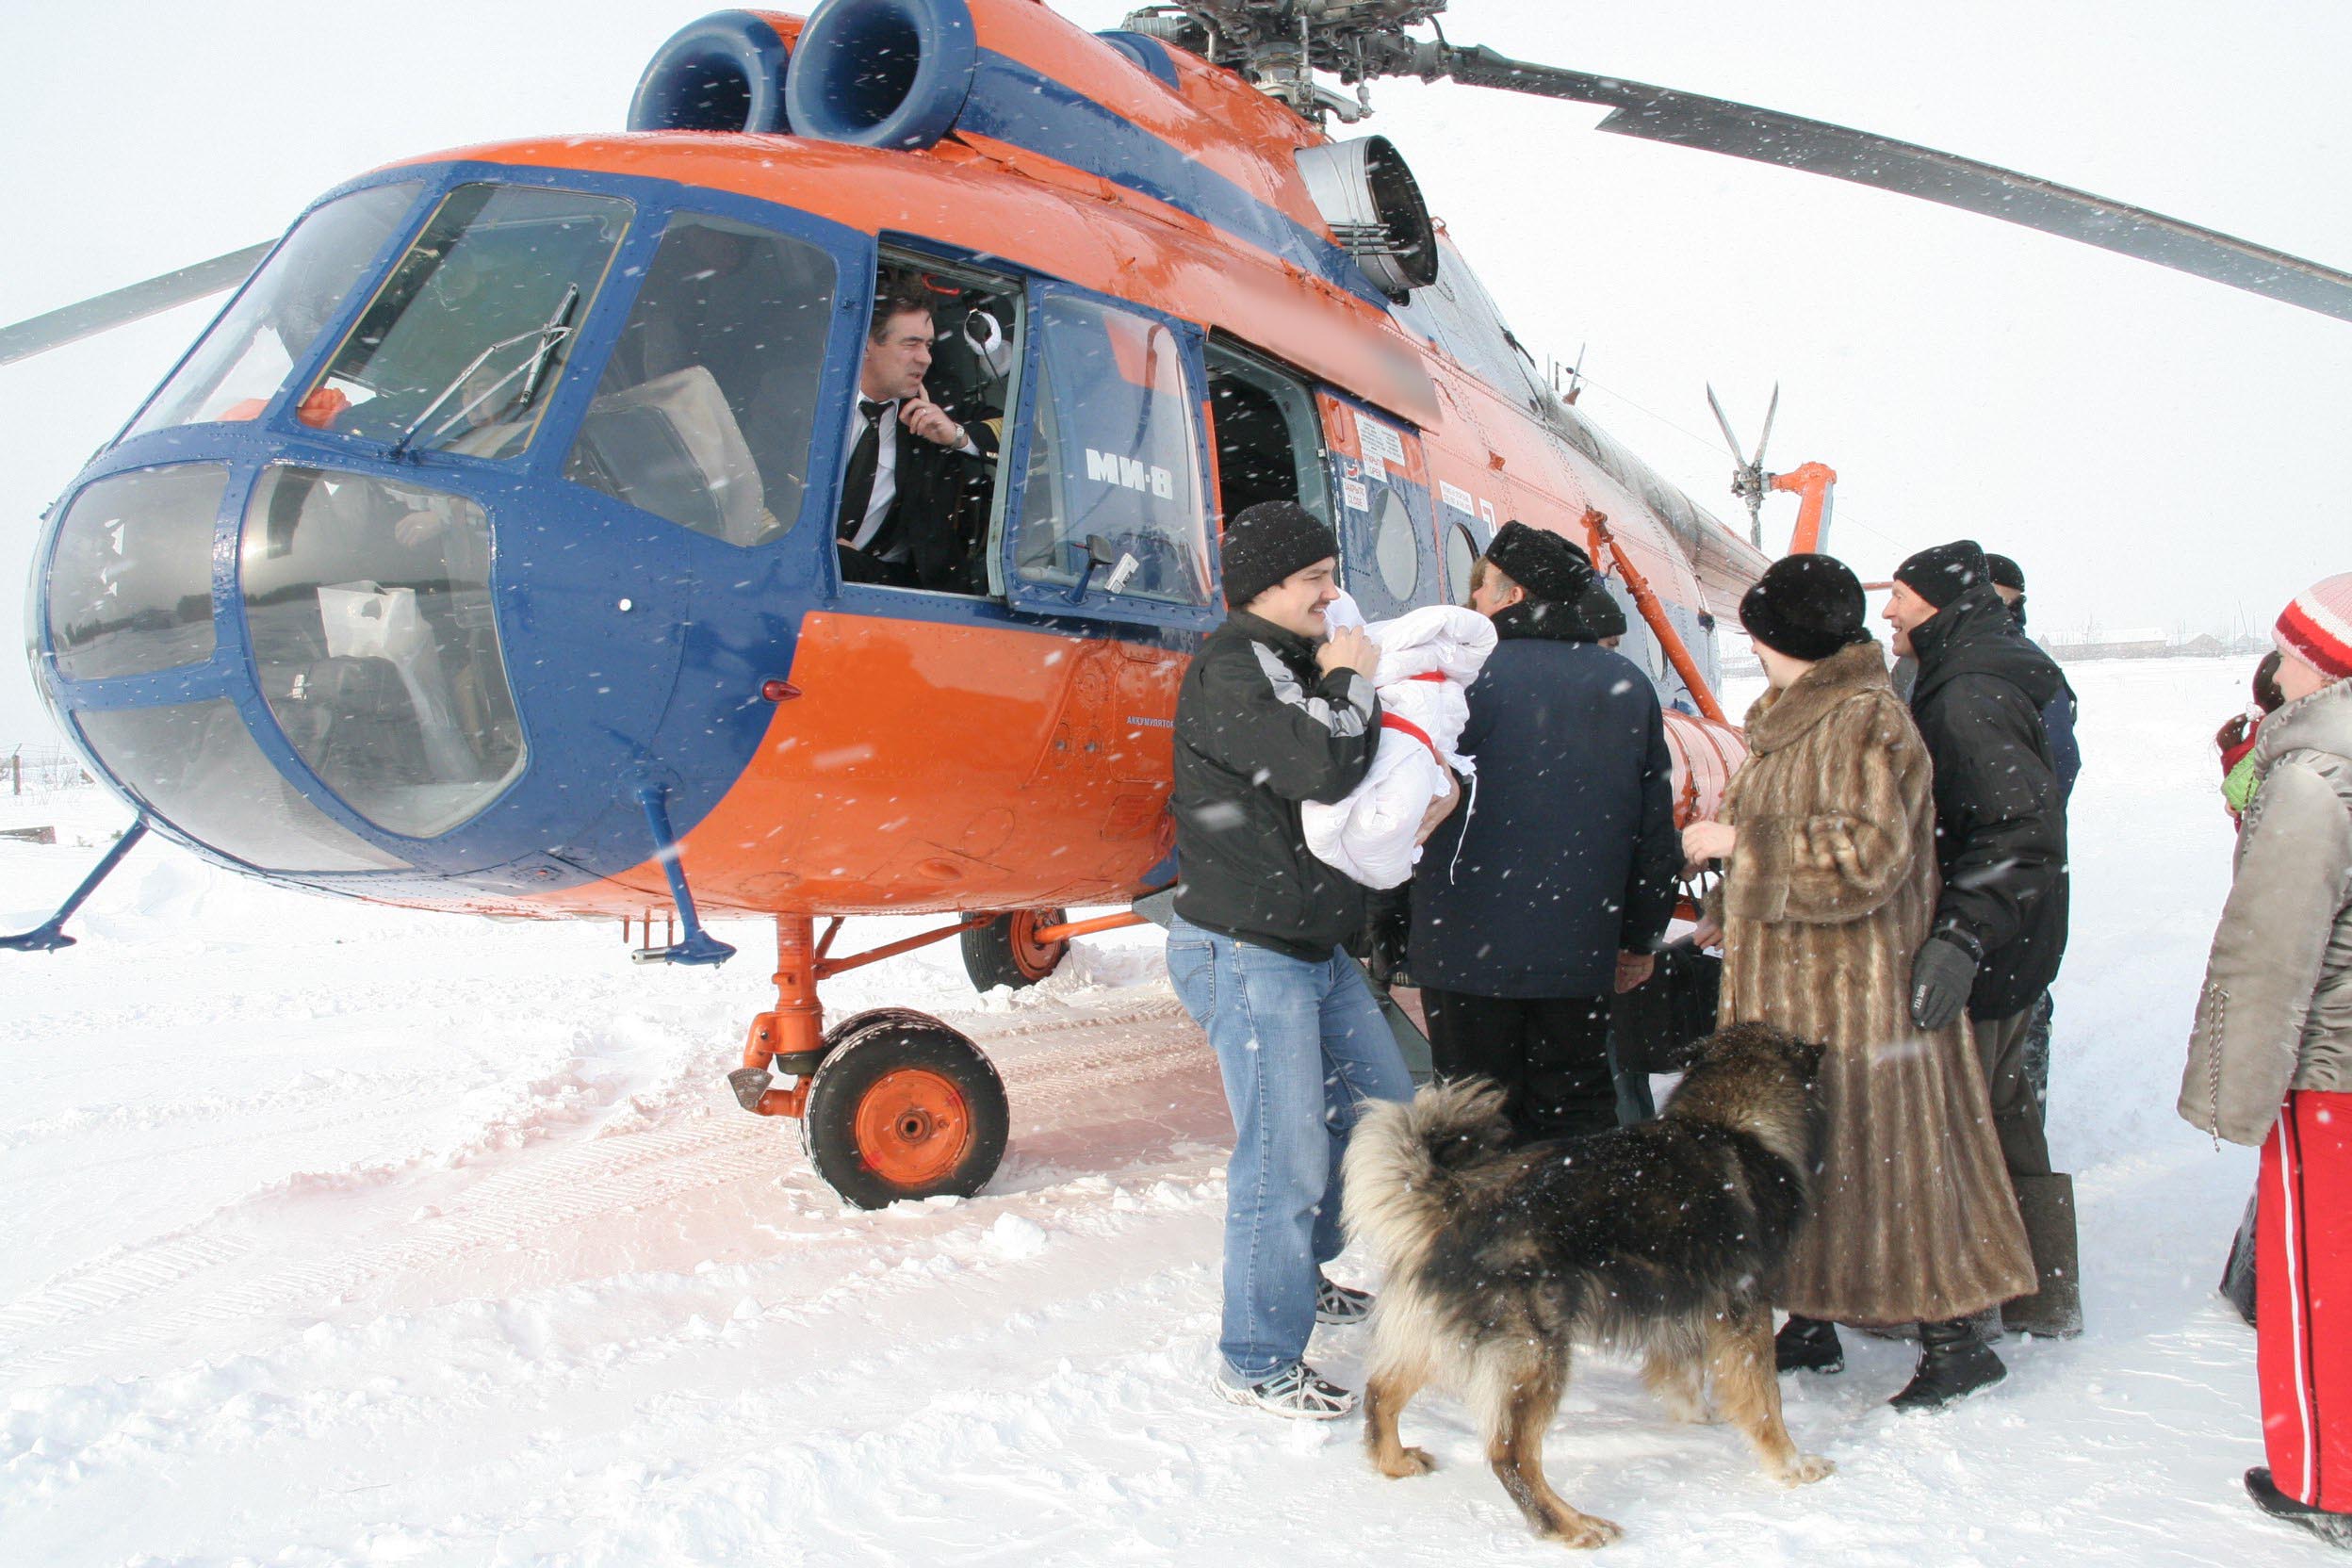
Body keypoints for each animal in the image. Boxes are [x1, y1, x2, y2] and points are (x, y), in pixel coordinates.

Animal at [1345, 1024, 1834, 1551]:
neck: (1730, 1120)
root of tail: (1454, 1202)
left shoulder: (1682, 1303)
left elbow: (1682, 1369)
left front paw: (1697, 1414)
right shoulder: (1744, 1303)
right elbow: (1765, 1400)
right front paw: (1791, 1465)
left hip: (1435, 1337)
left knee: (1381, 1391)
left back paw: (1395, 1462)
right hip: (1535, 1356)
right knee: (1509, 1454)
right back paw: (1572, 1525)